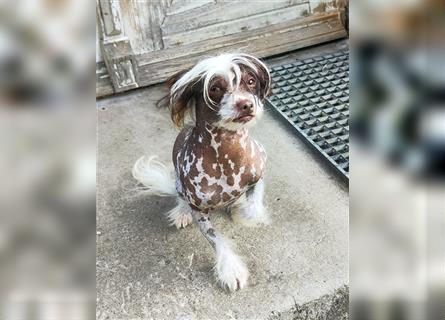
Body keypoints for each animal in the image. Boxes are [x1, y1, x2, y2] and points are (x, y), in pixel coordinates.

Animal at [132, 53, 270, 292]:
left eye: (251, 81)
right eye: (215, 88)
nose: (246, 104)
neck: (227, 153)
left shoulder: (260, 170)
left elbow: (254, 205)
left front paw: (244, 214)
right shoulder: (199, 209)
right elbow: (216, 240)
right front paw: (230, 269)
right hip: (179, 184)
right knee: (180, 197)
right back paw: (181, 211)